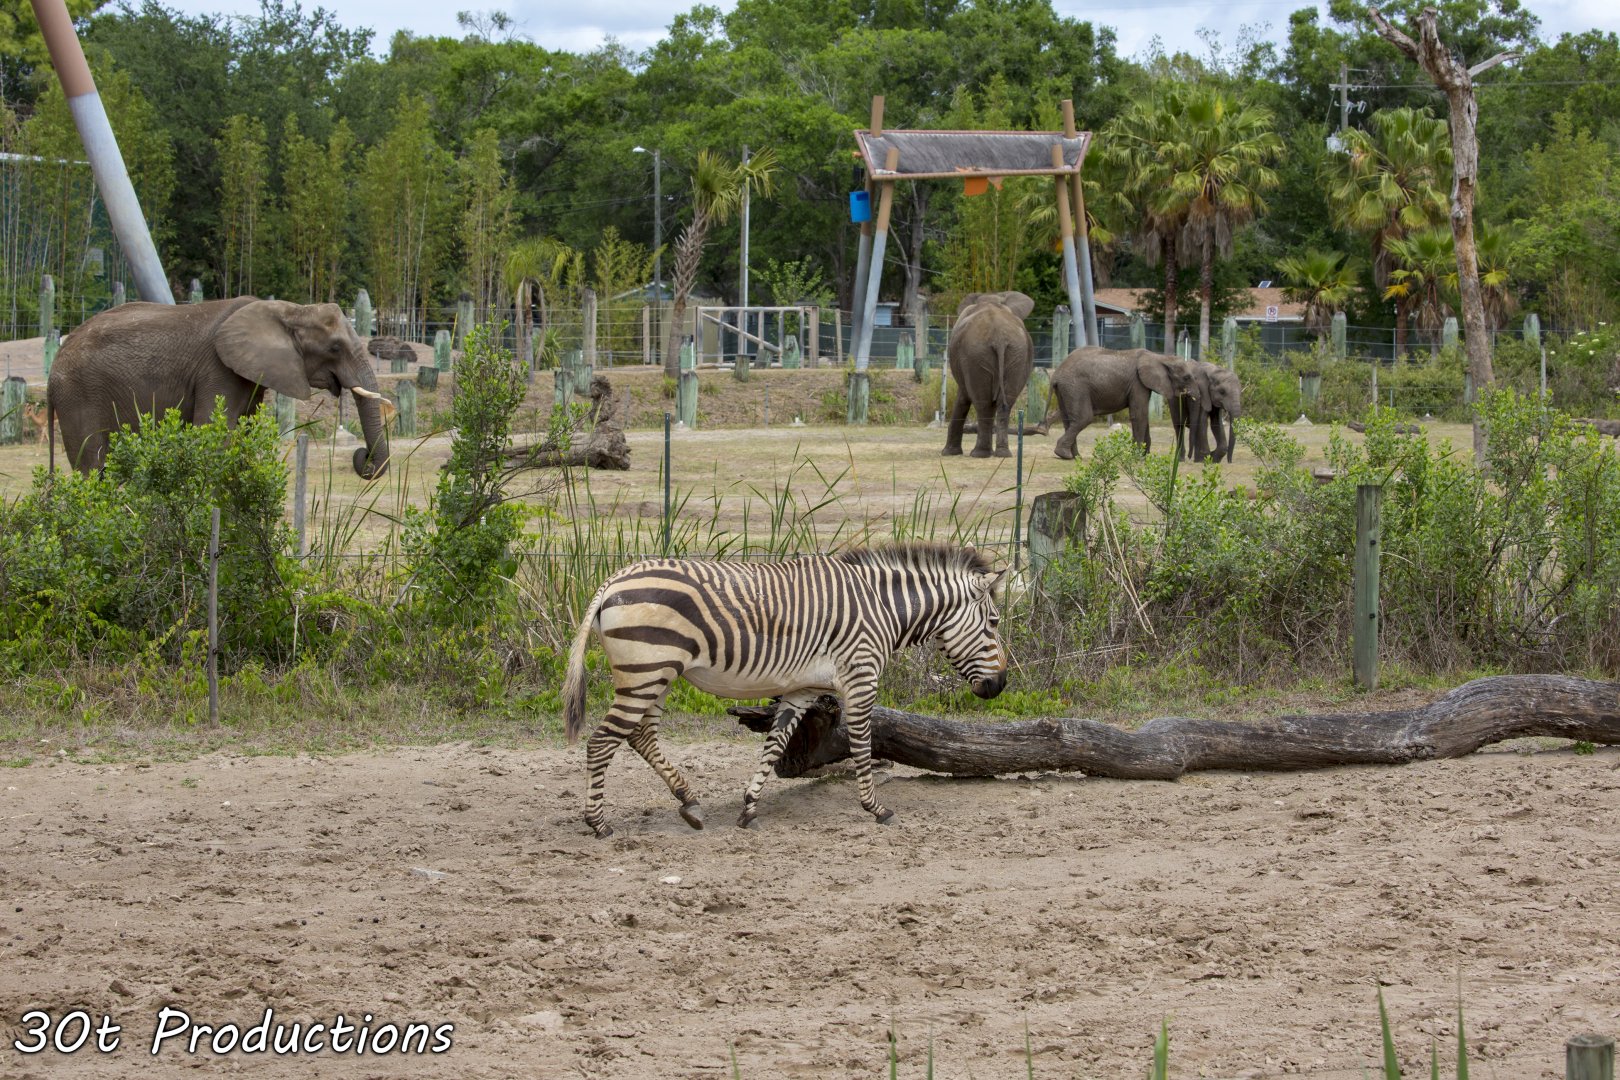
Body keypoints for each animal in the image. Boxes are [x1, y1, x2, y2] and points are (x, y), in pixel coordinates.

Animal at [47, 298, 390, 478]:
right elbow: (212, 433)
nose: (363, 456)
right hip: (79, 397)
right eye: (335, 348)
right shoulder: (218, 371)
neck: (290, 310)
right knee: (92, 465)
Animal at [561, 542, 1009, 837]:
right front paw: (876, 809)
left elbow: (775, 744)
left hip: (658, 674)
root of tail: (612, 580)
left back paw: (688, 802)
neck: (881, 606)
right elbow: (862, 744)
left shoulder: (803, 689)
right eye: (994, 623)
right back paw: (598, 823)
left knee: (641, 735)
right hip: (647, 670)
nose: (1000, 685)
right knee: (602, 742)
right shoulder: (861, 676)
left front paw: (748, 807)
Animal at [943, 291, 1036, 458]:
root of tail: (999, 337)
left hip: (976, 355)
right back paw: (1002, 453)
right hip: (1017, 354)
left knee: (982, 402)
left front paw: (948, 453)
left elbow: (963, 396)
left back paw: (979, 454)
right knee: (1005, 404)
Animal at [1040, 346, 1200, 460]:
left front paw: (1144, 455)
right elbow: (1139, 415)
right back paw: (1064, 454)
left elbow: (1143, 416)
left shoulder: (1142, 384)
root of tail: (1056, 374)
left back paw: (1074, 456)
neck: (1159, 357)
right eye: (1186, 377)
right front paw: (1138, 457)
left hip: (1065, 390)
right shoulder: (1137, 382)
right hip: (1075, 387)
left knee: (1068, 421)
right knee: (1084, 418)